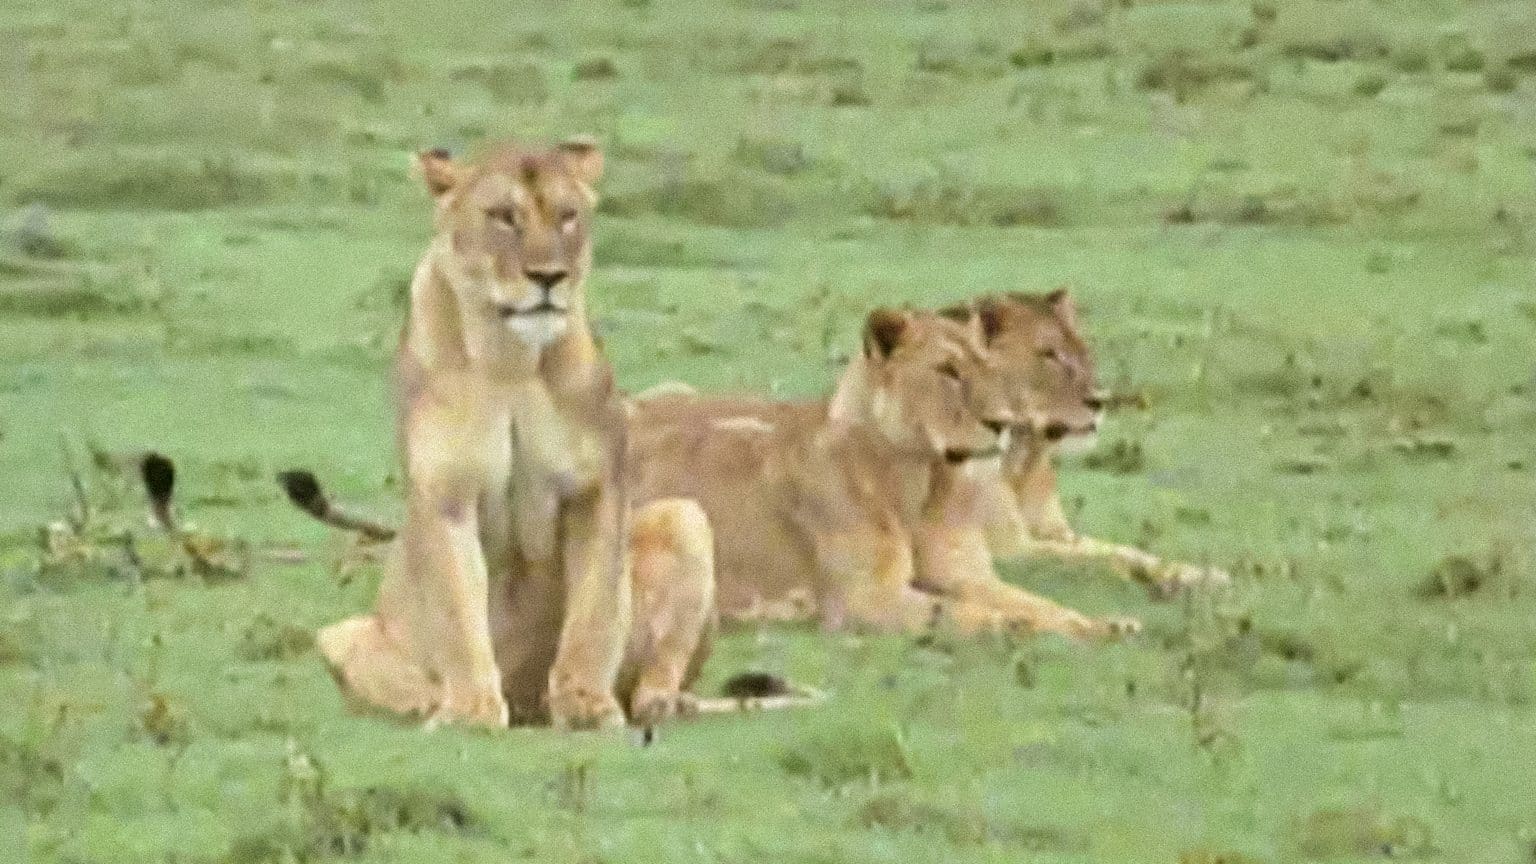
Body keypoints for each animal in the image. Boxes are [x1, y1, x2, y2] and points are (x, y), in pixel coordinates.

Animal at [310, 139, 728, 730]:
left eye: (568, 216)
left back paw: (664, 704)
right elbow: (459, 614)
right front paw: (470, 712)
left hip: (684, 516)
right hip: (340, 635)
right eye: (504, 217)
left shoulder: (596, 488)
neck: (510, 360)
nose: (549, 277)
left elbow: (596, 611)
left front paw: (586, 705)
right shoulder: (446, 494)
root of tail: (527, 703)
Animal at [629, 308, 1135, 638]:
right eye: (948, 371)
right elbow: (977, 615)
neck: (921, 483)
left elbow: (1038, 604)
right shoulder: (866, 599)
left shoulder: (971, 574)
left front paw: (1107, 623)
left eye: (986, 367)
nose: (1003, 422)